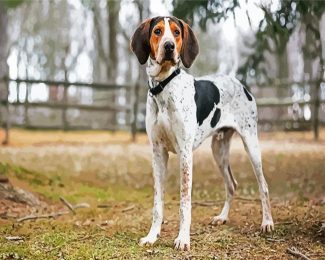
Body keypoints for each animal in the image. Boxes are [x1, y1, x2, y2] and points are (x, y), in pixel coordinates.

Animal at [130, 15, 272, 250]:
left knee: (263, 186)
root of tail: (239, 83)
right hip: (219, 150)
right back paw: (222, 217)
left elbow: (185, 202)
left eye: (176, 32)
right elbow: (157, 203)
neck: (164, 86)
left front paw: (182, 239)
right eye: (157, 31)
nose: (169, 47)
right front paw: (152, 236)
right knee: (232, 185)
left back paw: (267, 222)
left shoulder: (185, 154)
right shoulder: (158, 153)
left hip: (251, 145)